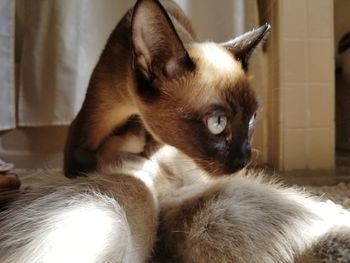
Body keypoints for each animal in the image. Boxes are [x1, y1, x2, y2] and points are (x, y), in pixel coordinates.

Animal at [65, 0, 268, 179]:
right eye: (218, 122)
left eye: (251, 118)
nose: (245, 160)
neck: (132, 109)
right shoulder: (86, 132)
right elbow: (87, 160)